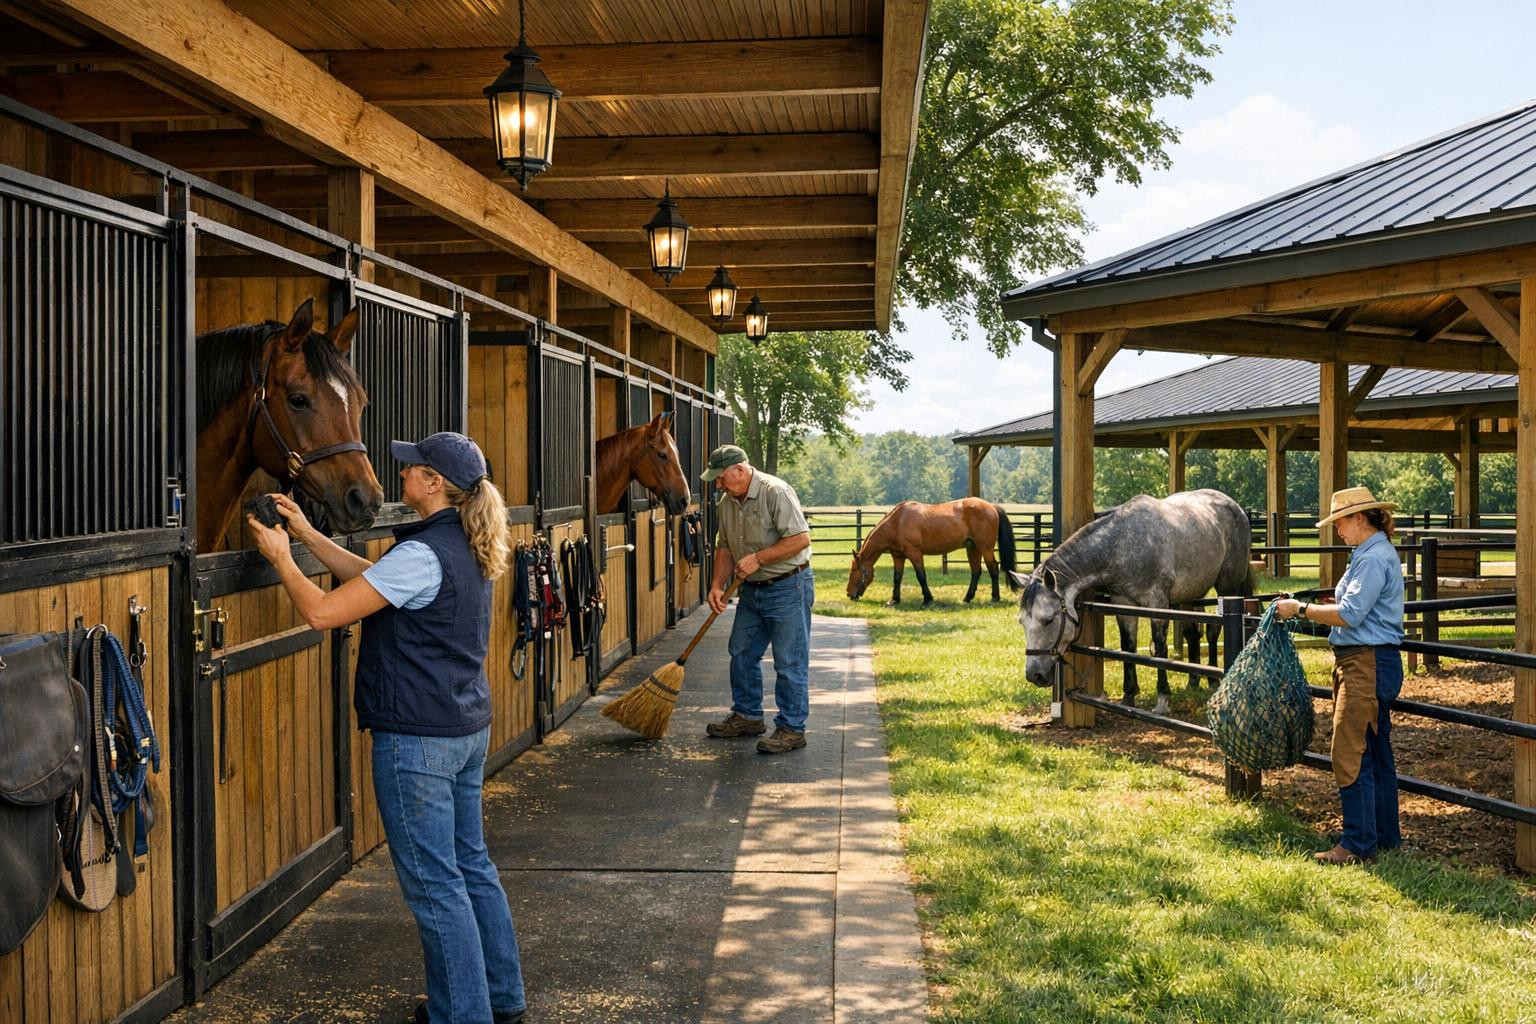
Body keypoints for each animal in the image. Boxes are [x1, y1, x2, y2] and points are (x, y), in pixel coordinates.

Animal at [846, 498, 1019, 607]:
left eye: (853, 571)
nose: (849, 594)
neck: (897, 522)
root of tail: (992, 507)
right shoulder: (898, 556)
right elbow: (897, 578)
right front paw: (894, 600)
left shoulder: (915, 554)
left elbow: (921, 576)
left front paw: (927, 600)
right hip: (973, 548)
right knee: (976, 571)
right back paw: (967, 598)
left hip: (985, 548)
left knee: (993, 568)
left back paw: (994, 598)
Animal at [1012, 489, 1253, 715]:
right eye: (1022, 622)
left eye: (1048, 620)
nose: (1034, 675)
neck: (1121, 546)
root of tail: (1236, 508)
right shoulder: (1123, 604)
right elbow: (1128, 647)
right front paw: (1129, 695)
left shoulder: (1157, 604)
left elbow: (1160, 650)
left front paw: (1162, 699)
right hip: (1191, 594)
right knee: (1193, 633)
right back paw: (1194, 680)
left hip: (1227, 587)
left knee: (1213, 632)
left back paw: (1214, 679)